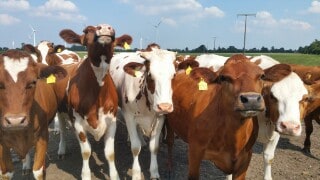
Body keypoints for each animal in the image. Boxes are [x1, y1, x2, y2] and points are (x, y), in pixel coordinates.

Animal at [56, 23, 132, 180]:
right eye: (86, 31)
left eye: (114, 29)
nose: (105, 27)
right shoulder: (78, 122)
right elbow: (86, 151)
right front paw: (85, 175)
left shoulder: (111, 120)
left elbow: (110, 153)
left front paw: (114, 175)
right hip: (60, 111)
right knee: (62, 130)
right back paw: (61, 150)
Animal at [109, 46, 176, 179]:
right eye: (150, 75)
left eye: (174, 75)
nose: (164, 106)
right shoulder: (129, 116)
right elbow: (135, 148)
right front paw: (136, 174)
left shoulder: (160, 118)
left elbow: (154, 147)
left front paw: (154, 172)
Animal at [165, 54, 298, 179]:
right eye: (223, 77)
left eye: (261, 76)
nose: (251, 99)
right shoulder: (195, 152)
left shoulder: (245, 159)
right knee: (170, 142)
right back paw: (170, 168)